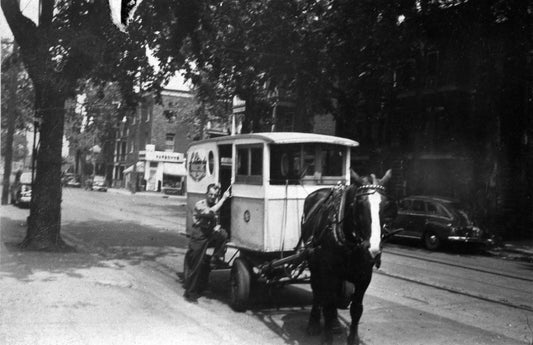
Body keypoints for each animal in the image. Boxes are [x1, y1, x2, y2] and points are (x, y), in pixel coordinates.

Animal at [300, 169, 394, 344]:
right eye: (360, 204)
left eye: (385, 205)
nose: (373, 249)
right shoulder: (329, 273)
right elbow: (328, 304)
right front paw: (327, 337)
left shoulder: (364, 276)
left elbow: (356, 308)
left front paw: (353, 338)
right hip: (313, 261)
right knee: (317, 290)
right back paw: (314, 323)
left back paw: (335, 323)